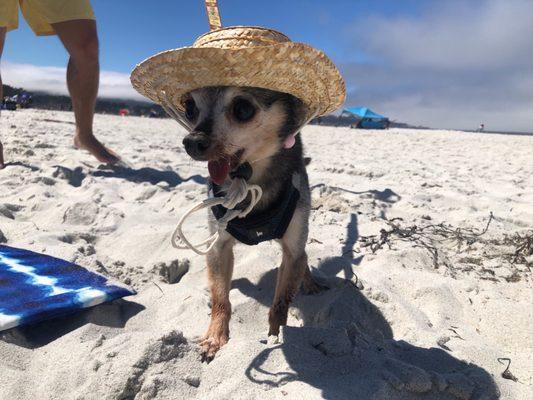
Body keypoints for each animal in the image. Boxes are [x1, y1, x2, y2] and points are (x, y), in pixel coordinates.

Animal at [179, 86, 322, 360]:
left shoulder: (292, 251)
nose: (191, 141)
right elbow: (221, 299)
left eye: (243, 109)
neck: (249, 182)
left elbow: (281, 302)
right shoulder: (219, 247)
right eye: (190, 108)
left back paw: (309, 282)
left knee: (304, 258)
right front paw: (214, 337)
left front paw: (275, 337)